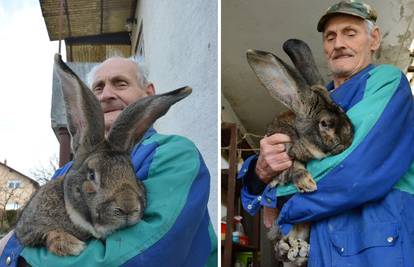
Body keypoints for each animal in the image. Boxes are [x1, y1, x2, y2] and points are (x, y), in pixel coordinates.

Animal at [14, 54, 192, 258]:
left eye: (133, 173)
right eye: (92, 175)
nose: (128, 207)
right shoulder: (27, 230)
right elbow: (45, 233)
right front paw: (71, 245)